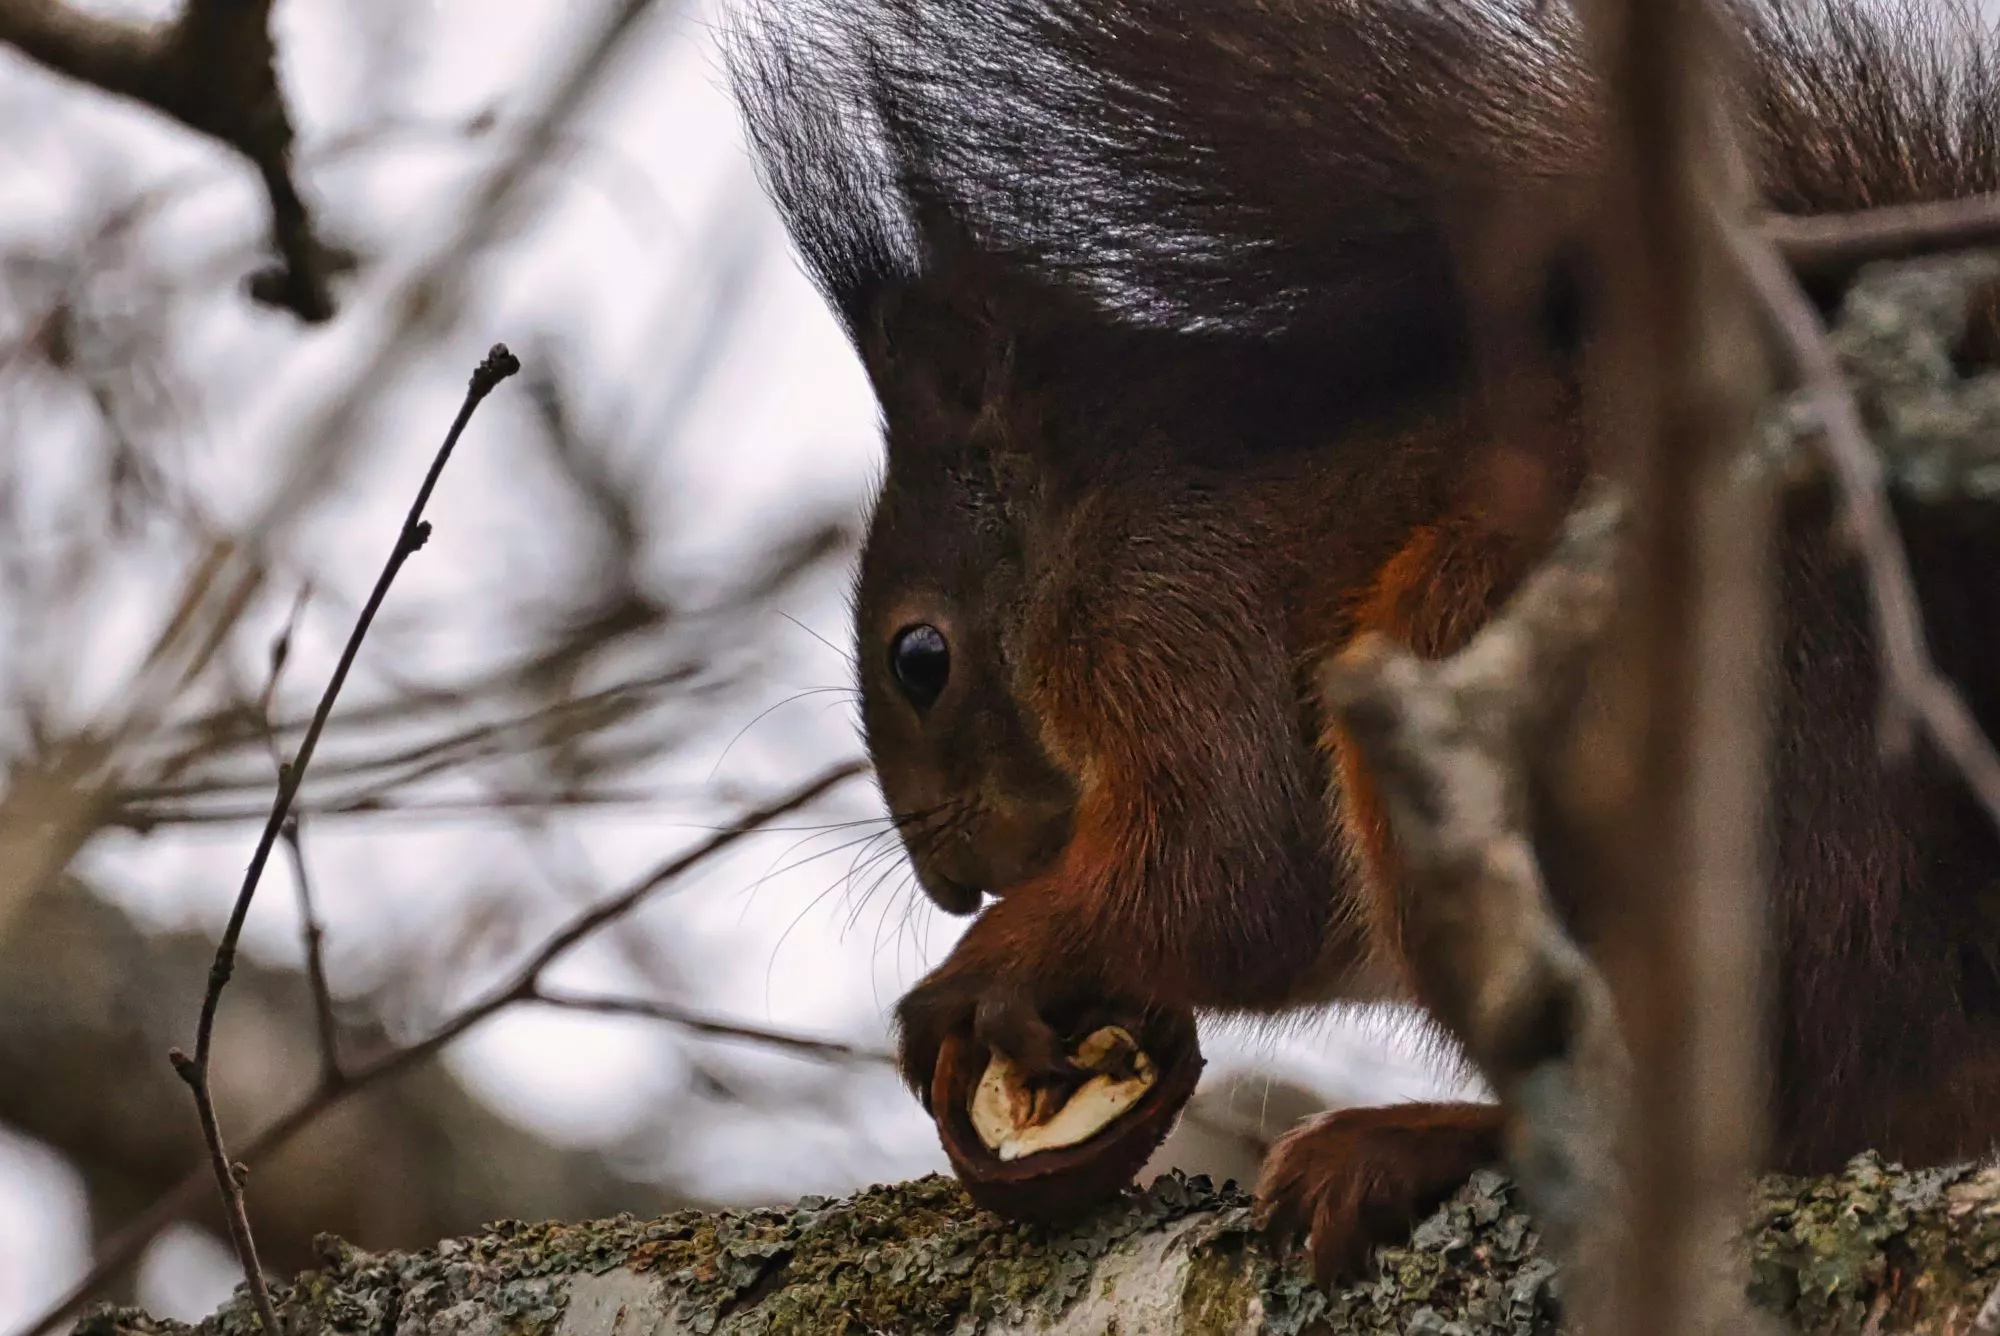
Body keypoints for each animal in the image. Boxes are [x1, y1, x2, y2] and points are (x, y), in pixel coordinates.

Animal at [728, 0, 2000, 1286]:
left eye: (918, 658)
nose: (947, 880)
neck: (1084, 521)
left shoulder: (1170, 619)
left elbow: (1229, 874)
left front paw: (974, 974)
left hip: (1496, 656)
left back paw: (1417, 1144)